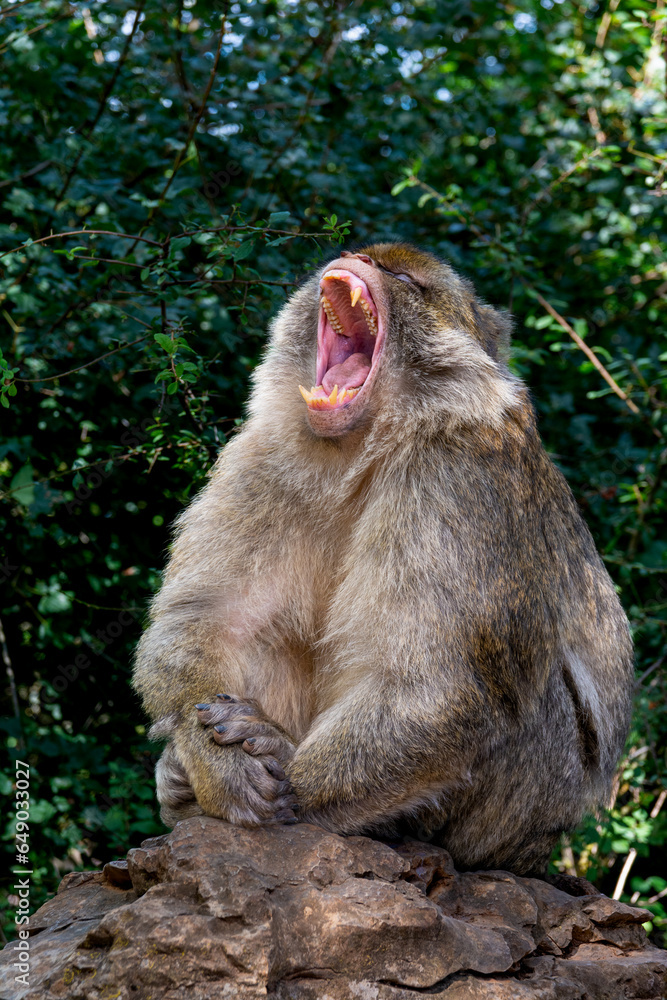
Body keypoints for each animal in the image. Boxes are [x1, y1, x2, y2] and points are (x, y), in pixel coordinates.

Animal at [133, 243, 634, 876]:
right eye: (364, 255)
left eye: (402, 276)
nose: (354, 256)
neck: (363, 449)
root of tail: (536, 848)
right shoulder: (259, 458)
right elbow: (209, 619)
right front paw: (215, 766)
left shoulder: (459, 479)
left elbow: (437, 686)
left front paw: (288, 774)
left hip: (515, 813)